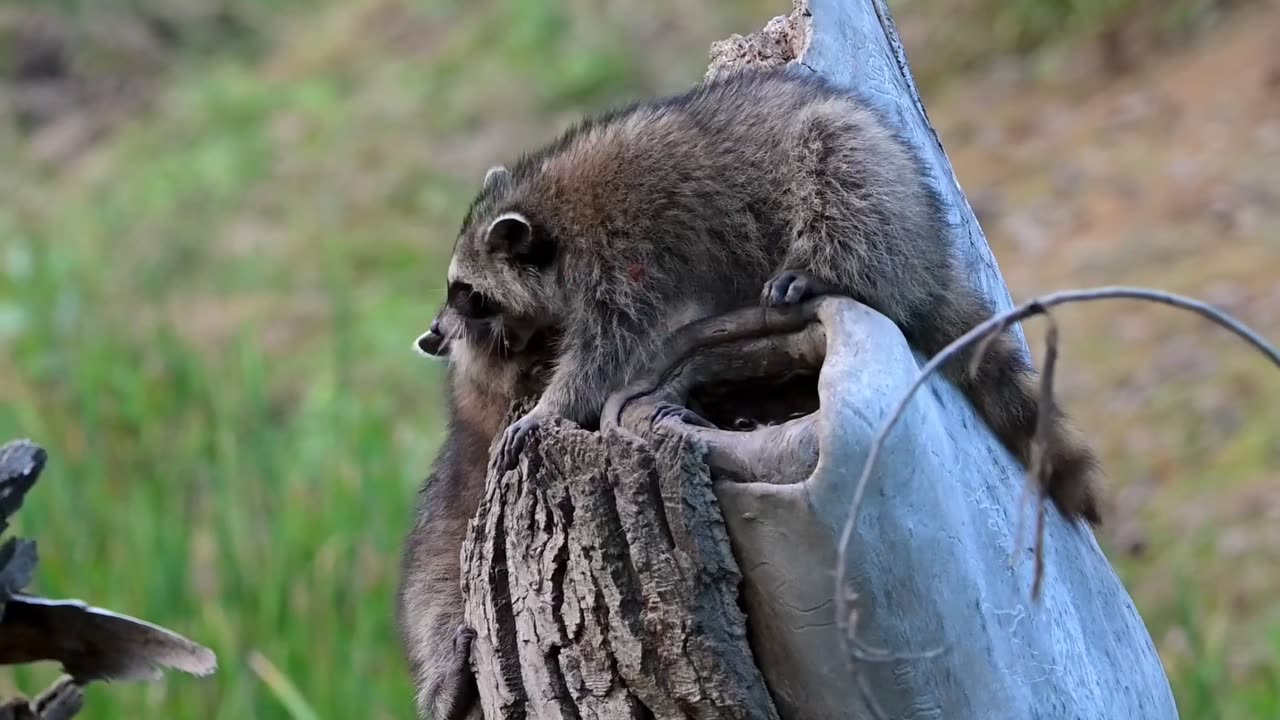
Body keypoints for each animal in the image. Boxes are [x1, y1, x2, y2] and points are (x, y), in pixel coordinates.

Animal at [440, 68, 1100, 520]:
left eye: (466, 293)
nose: (433, 335)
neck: (550, 211)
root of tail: (932, 255)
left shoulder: (624, 259)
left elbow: (606, 353)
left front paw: (550, 406)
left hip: (865, 181)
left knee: (839, 182)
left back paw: (827, 270)